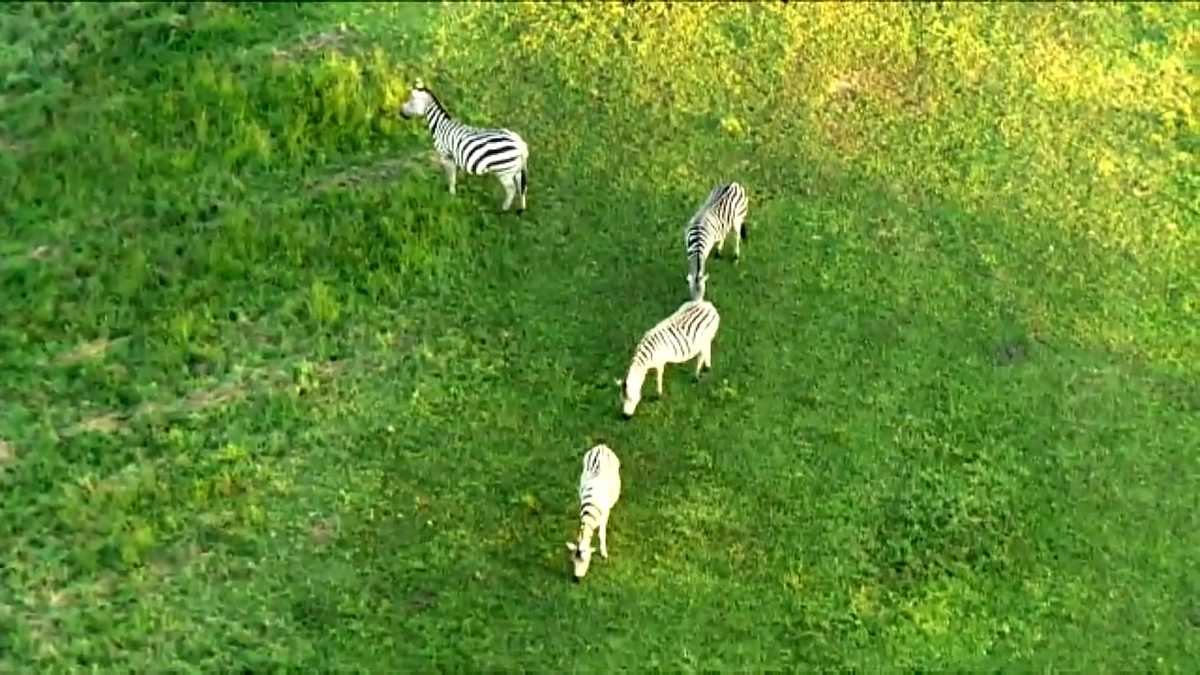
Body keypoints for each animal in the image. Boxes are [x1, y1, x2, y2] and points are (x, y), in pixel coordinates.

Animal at [399, 79, 529, 214]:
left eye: (410, 100)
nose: (400, 112)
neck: (440, 125)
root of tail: (518, 143)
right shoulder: (454, 157)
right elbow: (454, 176)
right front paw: (453, 193)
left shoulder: (446, 156)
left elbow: (451, 177)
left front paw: (451, 195)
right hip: (516, 169)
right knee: (521, 187)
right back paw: (521, 210)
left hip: (504, 172)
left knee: (511, 190)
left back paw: (503, 209)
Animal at [566, 443, 622, 581]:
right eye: (572, 561)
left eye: (586, 560)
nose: (576, 579)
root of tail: (601, 446)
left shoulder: (605, 514)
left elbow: (602, 534)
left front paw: (604, 554)